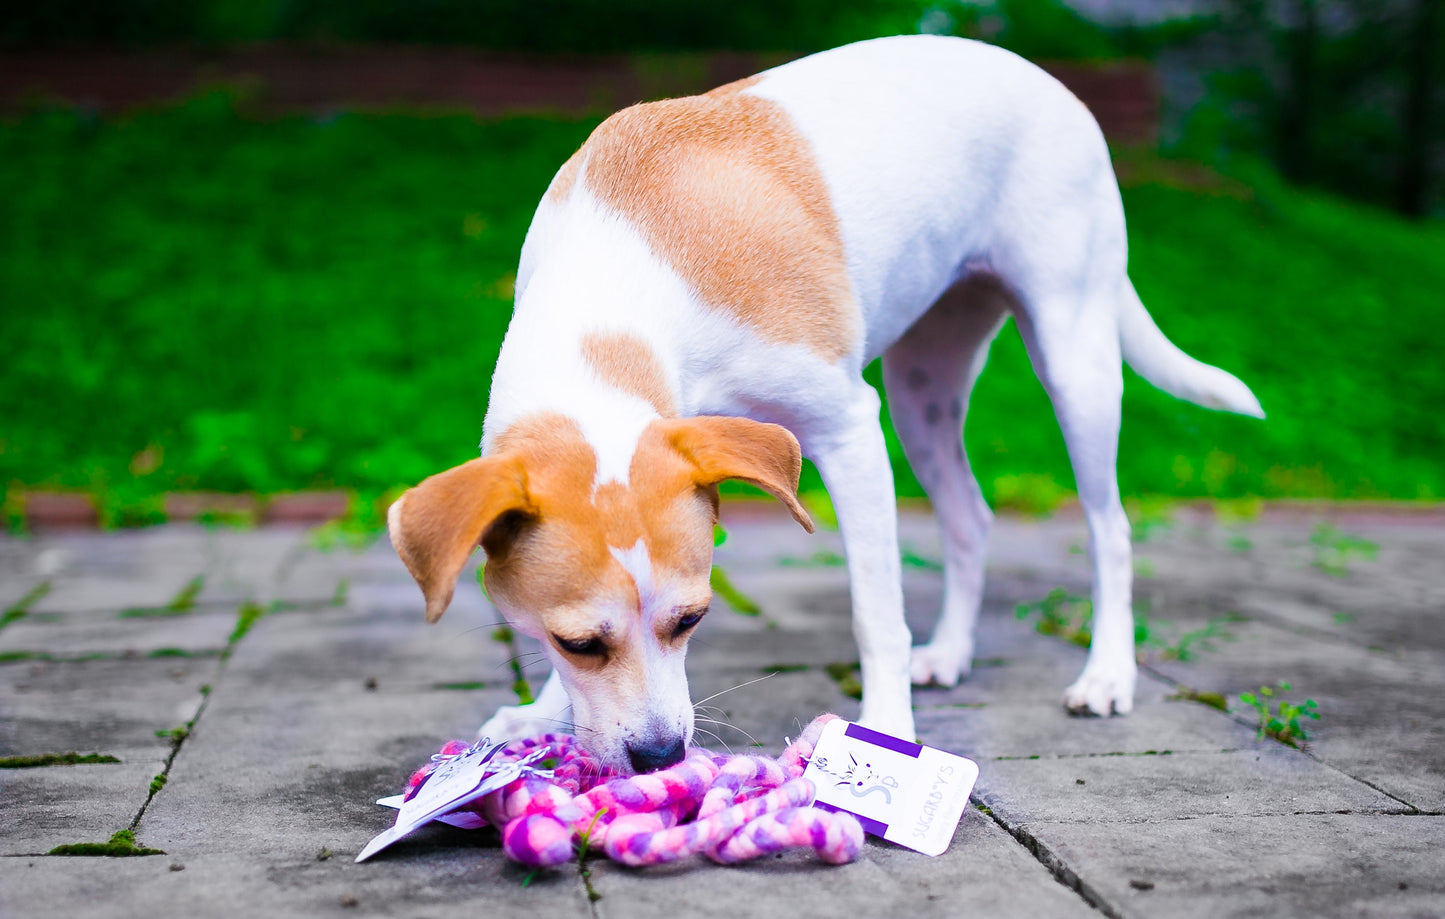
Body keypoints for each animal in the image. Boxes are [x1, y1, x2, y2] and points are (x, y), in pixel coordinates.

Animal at [387, 35, 1265, 774]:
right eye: (576, 641)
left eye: (692, 619)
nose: (661, 756)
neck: (623, 274)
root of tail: (1048, 78)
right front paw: (541, 711)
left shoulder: (848, 433)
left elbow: (875, 609)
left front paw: (886, 733)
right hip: (922, 392)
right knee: (969, 517)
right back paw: (950, 651)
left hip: (1073, 358)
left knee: (1108, 527)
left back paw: (1107, 671)